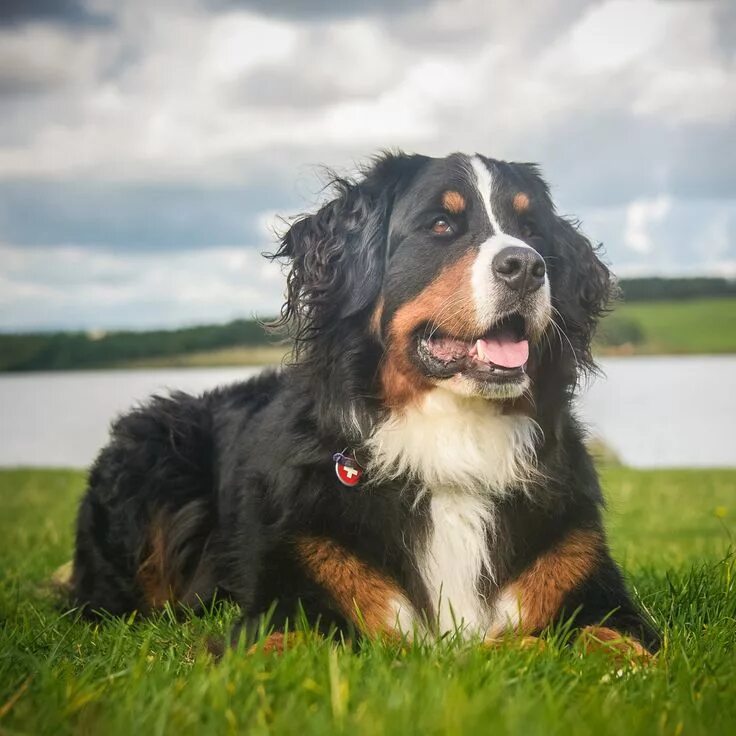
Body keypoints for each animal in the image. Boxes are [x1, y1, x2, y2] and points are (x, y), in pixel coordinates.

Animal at [70, 152, 660, 660]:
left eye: (532, 228)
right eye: (440, 225)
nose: (527, 265)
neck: (453, 439)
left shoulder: (588, 581)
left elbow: (613, 640)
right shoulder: (295, 591)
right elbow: (288, 647)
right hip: (153, 441)